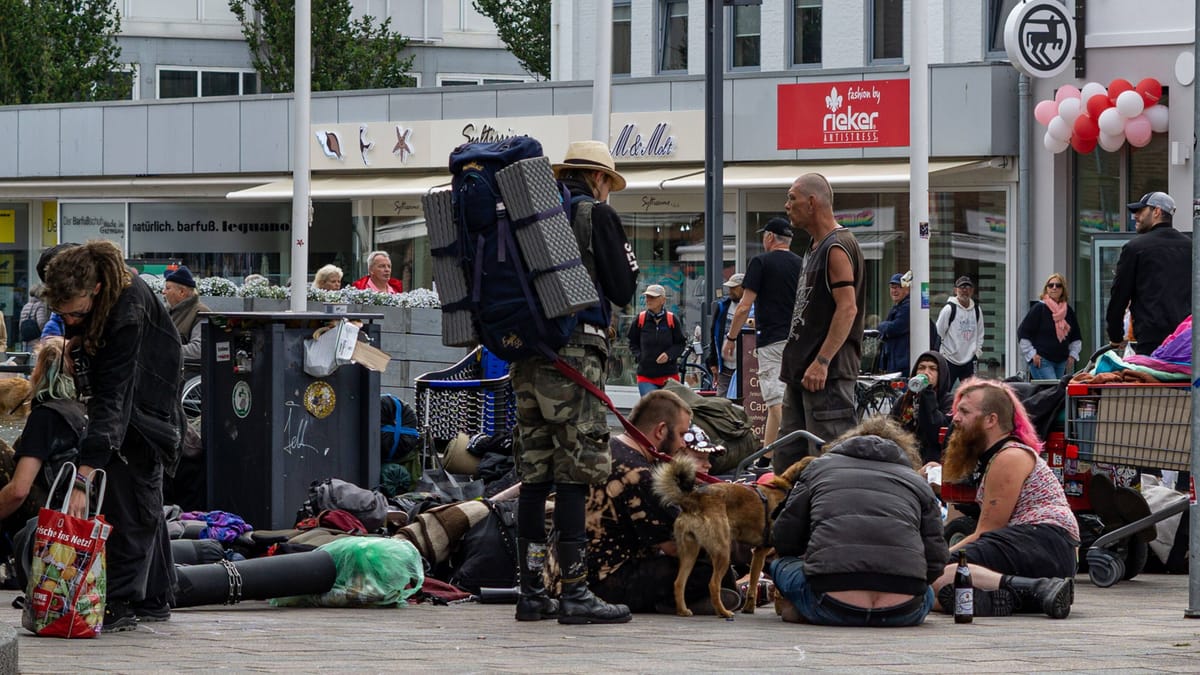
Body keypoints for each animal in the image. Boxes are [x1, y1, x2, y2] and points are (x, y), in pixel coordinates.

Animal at [657, 454, 816, 619]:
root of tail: (693, 498)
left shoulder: (759, 553)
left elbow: (753, 583)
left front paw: (749, 608)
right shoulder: (777, 552)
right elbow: (777, 590)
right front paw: (779, 609)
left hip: (690, 552)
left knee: (679, 583)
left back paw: (683, 610)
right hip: (722, 552)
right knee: (713, 584)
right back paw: (723, 612)